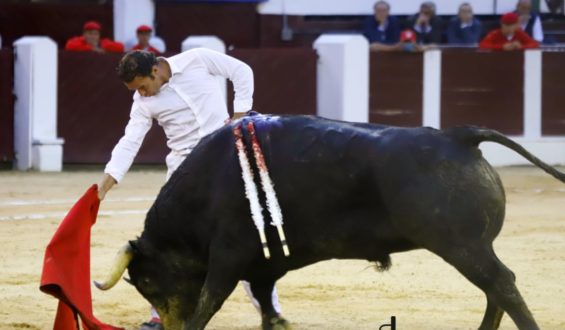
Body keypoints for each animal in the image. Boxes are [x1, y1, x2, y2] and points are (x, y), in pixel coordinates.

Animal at [94, 114, 560, 328]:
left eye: (147, 281)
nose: (169, 327)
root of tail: (458, 136)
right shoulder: (264, 258)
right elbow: (262, 293)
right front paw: (277, 322)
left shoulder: (227, 255)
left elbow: (211, 299)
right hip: (470, 247)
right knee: (495, 288)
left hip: (462, 245)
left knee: (501, 284)